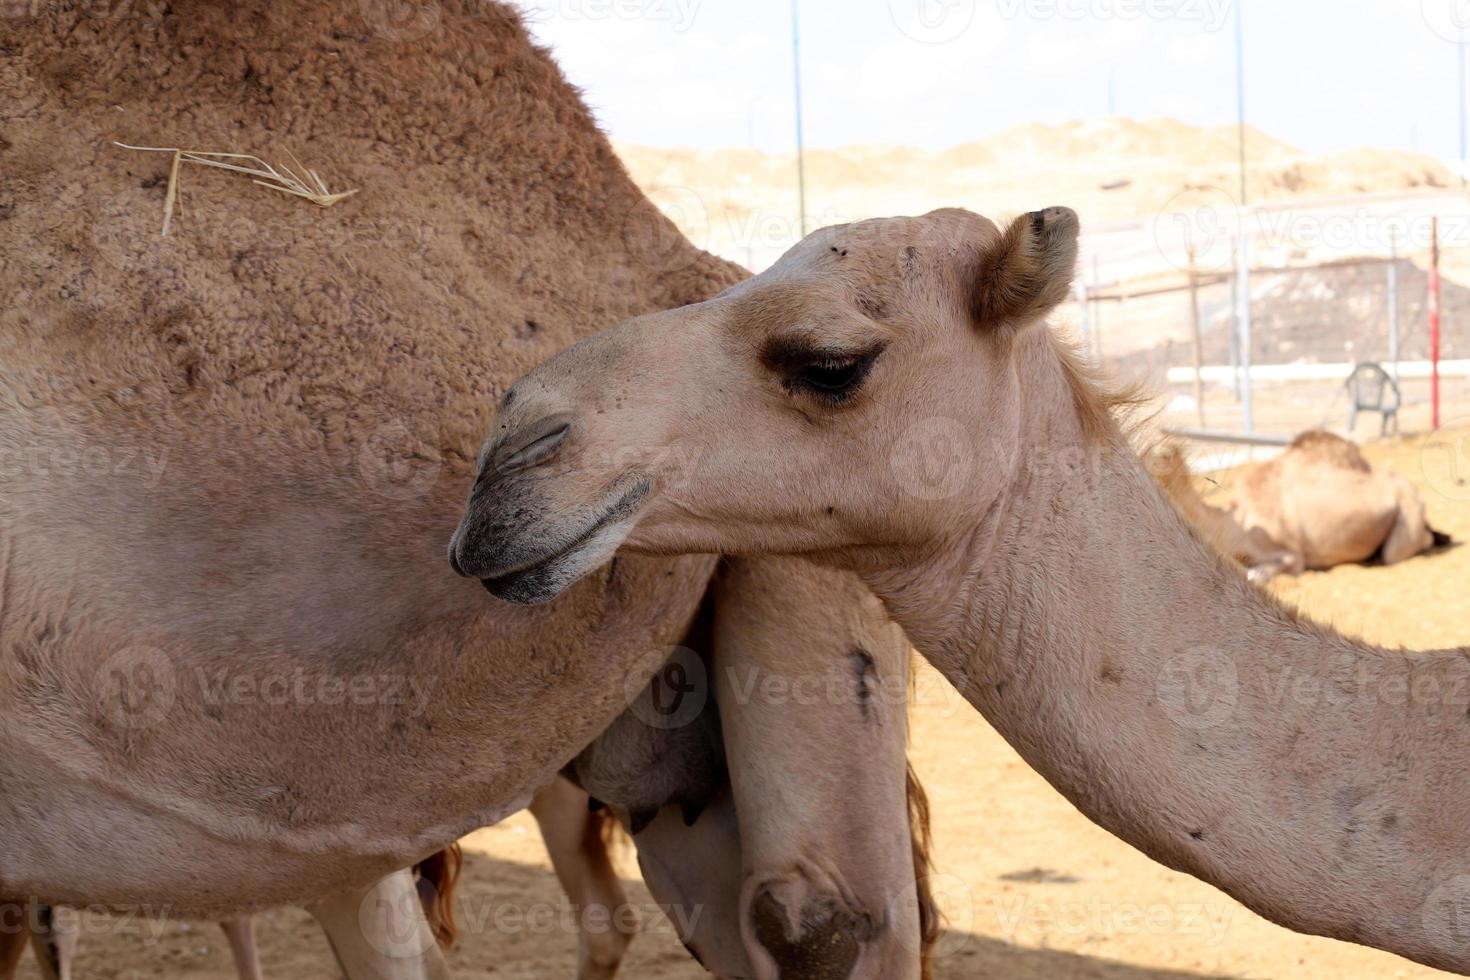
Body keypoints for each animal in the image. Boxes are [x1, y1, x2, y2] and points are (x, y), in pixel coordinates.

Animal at [1146, 431, 1446, 581]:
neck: (1236, 523)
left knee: (1405, 548)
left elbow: (1260, 572)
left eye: (1166, 456)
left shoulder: (1291, 552)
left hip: (1407, 513)